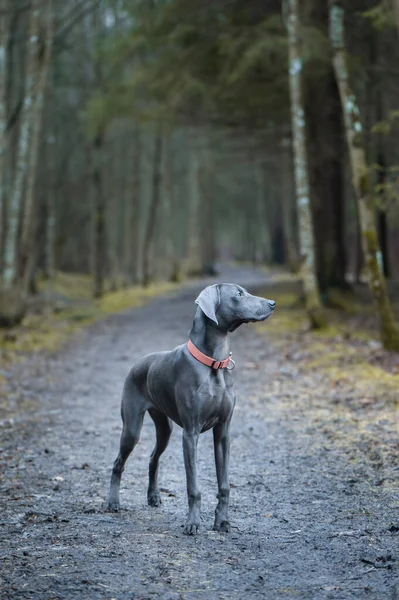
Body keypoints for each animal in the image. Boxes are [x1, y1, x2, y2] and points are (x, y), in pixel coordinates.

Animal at [106, 284, 276, 536]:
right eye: (238, 295)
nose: (273, 304)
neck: (214, 363)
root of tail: (138, 363)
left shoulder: (222, 432)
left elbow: (224, 484)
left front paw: (222, 521)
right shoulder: (191, 433)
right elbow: (193, 487)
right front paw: (193, 522)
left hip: (164, 428)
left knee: (153, 458)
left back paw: (153, 496)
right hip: (132, 428)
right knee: (118, 462)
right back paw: (113, 502)